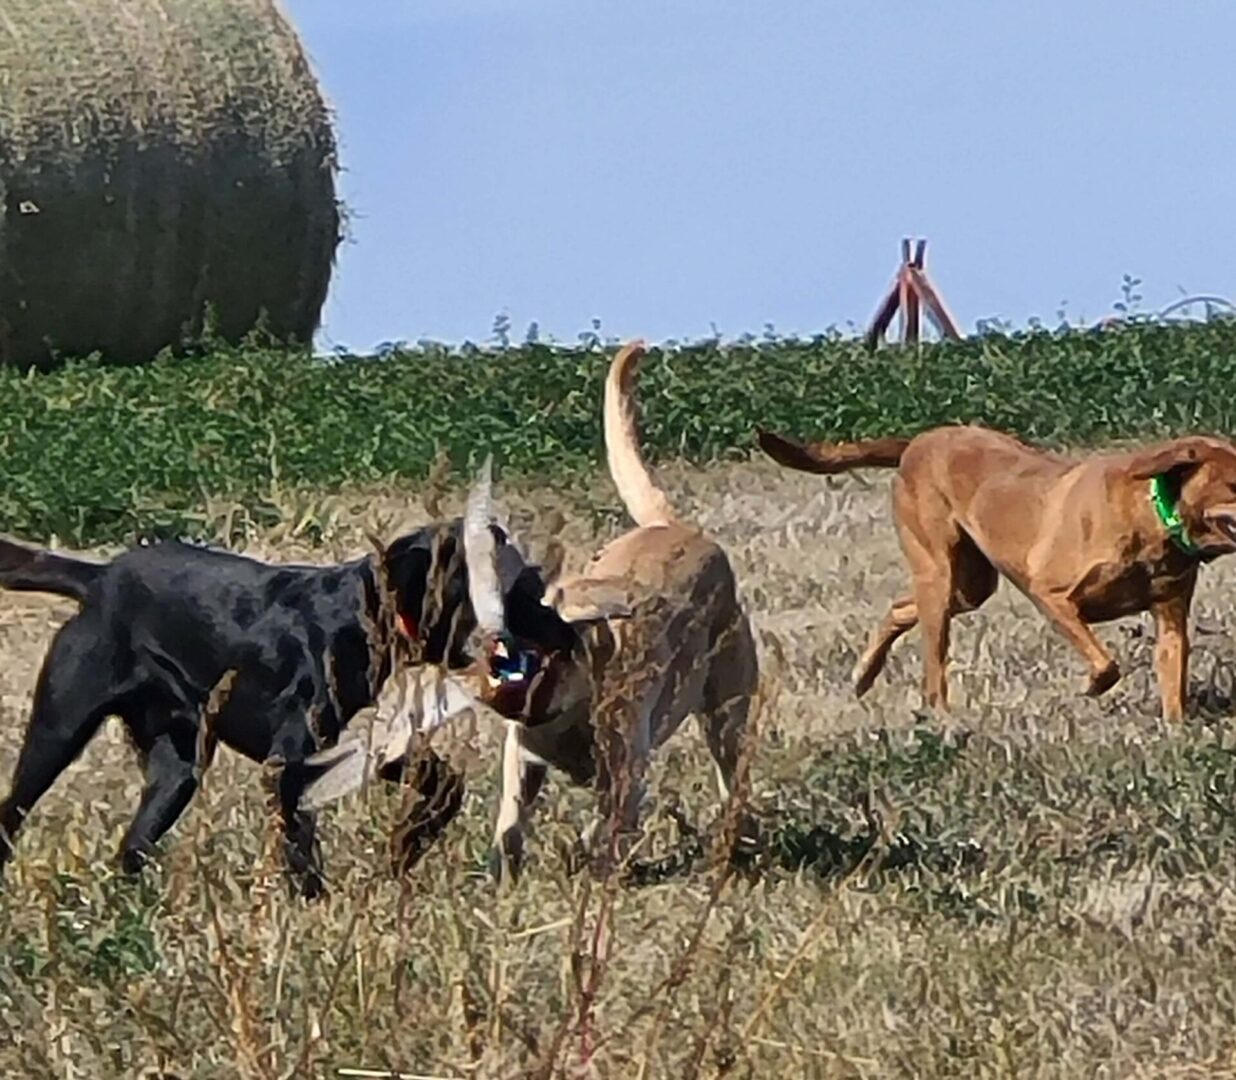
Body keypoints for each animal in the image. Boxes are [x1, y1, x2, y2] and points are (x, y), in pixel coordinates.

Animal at [0, 521, 566, 894]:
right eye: (510, 587)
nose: (558, 625)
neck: (358, 617)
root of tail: (98, 578)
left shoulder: (346, 750)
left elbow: (443, 780)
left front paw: (407, 844)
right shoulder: (288, 765)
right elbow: (301, 847)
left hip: (176, 768)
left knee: (132, 846)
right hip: (59, 729)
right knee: (14, 808)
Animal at [459, 343, 756, 874]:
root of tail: (676, 527)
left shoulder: (626, 770)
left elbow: (607, 823)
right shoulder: (522, 757)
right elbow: (510, 823)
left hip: (726, 711)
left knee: (733, 778)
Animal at [756, 420, 1236, 716]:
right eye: (1234, 482)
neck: (1157, 515)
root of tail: (917, 442)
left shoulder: (1171, 615)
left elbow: (1172, 680)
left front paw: (1175, 734)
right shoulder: (1051, 595)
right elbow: (1106, 664)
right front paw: (1088, 687)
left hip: (969, 585)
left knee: (899, 608)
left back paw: (863, 675)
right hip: (938, 571)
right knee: (933, 663)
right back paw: (940, 717)